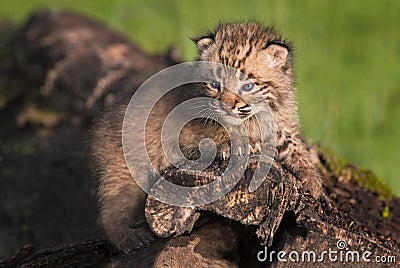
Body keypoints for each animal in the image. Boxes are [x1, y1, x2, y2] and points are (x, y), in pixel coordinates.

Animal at [90, 22, 322, 252]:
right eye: (215, 84)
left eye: (247, 86)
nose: (226, 106)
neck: (255, 115)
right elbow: (214, 135)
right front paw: (235, 145)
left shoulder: (280, 126)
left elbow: (294, 146)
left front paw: (315, 183)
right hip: (128, 170)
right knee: (108, 213)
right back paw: (130, 238)